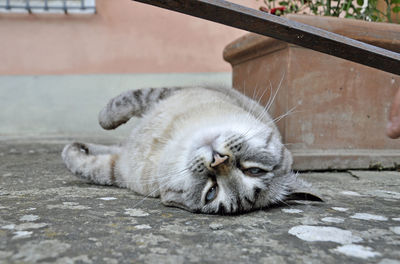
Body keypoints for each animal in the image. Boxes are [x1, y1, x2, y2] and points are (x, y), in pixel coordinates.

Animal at [62, 85, 320, 213]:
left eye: (211, 192)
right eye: (253, 170)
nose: (218, 160)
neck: (171, 142)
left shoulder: (118, 170)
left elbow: (88, 167)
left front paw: (72, 149)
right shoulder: (169, 94)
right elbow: (126, 103)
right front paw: (102, 121)